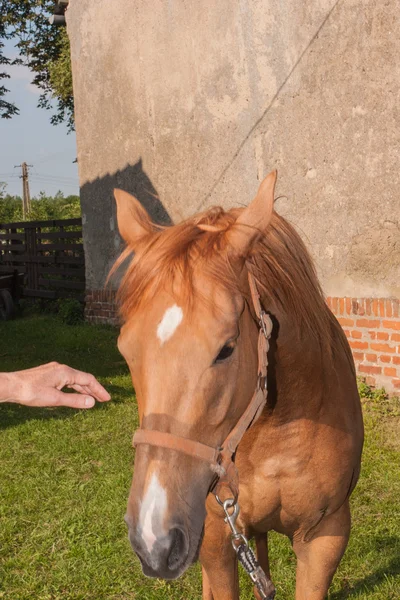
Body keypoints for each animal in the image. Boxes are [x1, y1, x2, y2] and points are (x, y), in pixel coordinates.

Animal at [112, 171, 362, 596]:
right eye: (125, 351)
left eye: (226, 348)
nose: (152, 540)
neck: (273, 435)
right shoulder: (215, 535)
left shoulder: (325, 538)